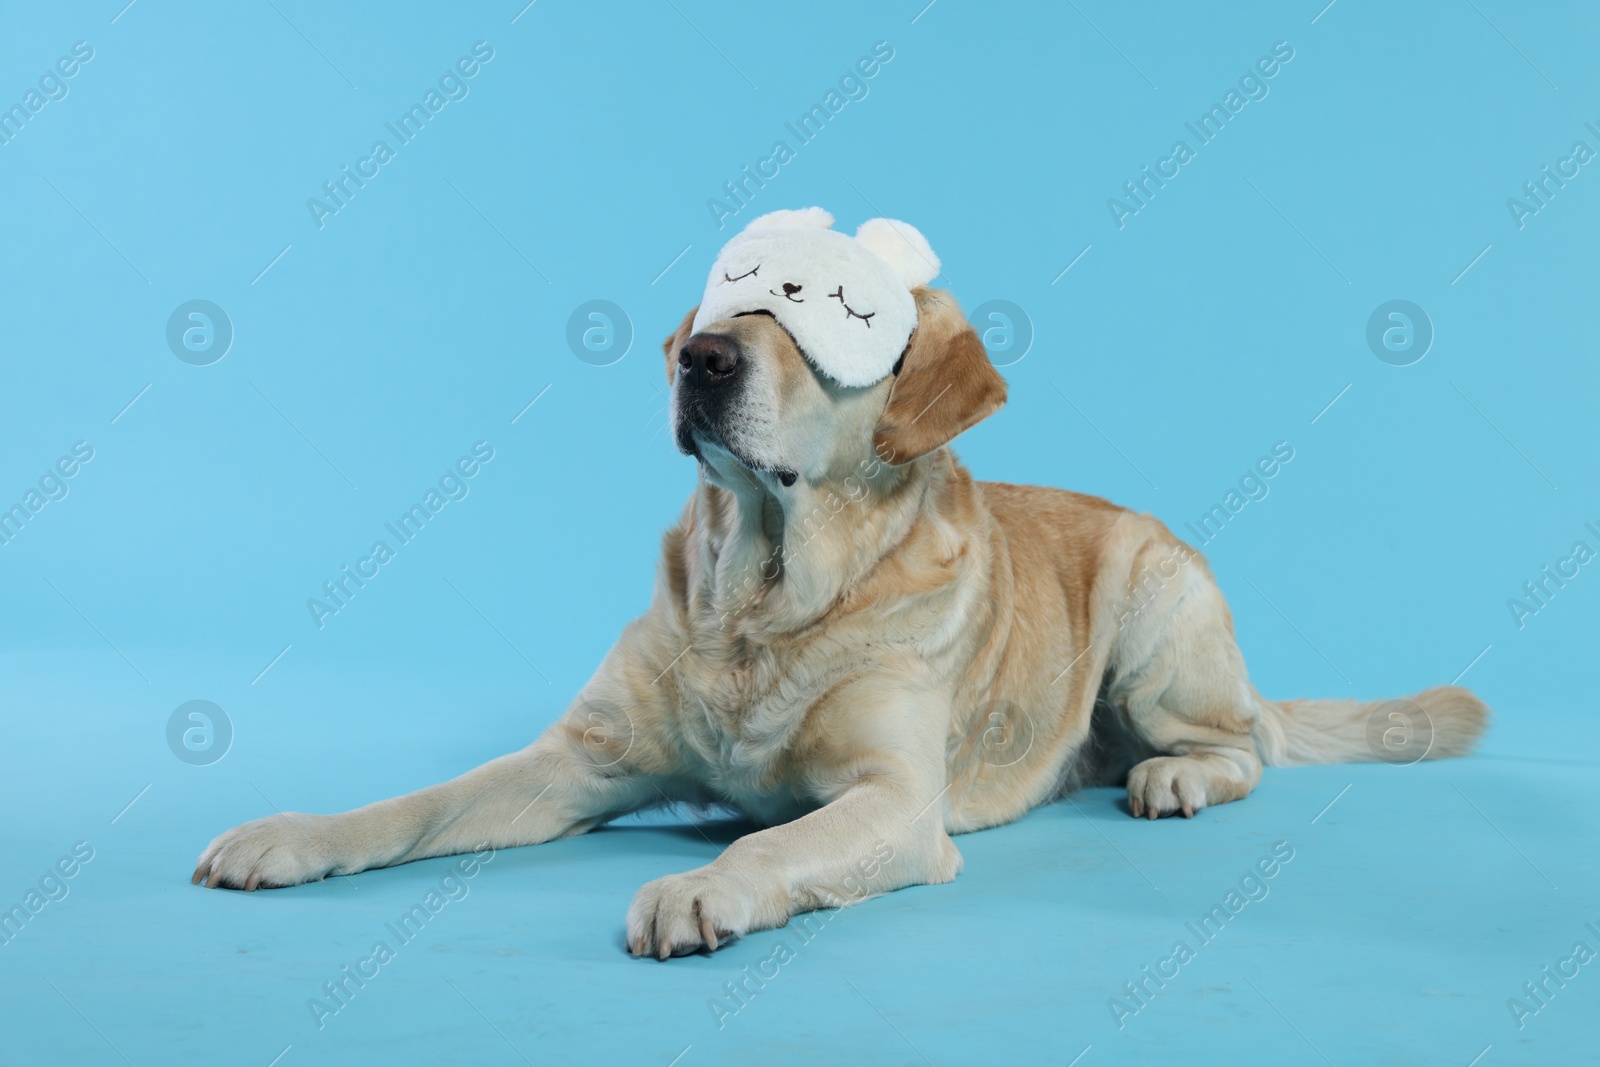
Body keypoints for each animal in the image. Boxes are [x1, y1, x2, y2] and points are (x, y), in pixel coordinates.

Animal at [196, 211, 1484, 959]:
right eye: (732, 295)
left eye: (829, 317)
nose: (700, 359)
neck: (762, 592)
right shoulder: (579, 759)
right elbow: (417, 803)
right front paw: (294, 832)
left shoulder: (894, 798)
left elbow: (771, 843)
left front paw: (700, 884)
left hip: (1156, 611)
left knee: (1238, 745)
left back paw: (1170, 774)